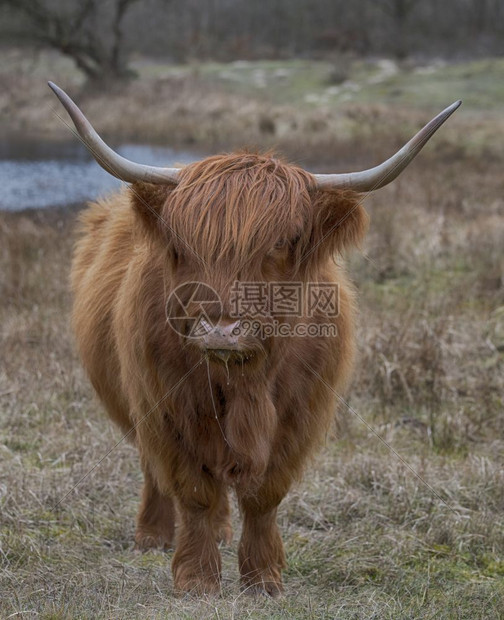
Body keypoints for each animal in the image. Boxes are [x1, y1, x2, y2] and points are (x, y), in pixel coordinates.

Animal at [49, 83, 458, 596]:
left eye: (280, 243)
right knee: (154, 472)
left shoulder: (298, 417)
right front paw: (197, 578)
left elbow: (264, 496)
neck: (244, 382)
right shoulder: (166, 410)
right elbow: (194, 491)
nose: (221, 329)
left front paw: (263, 577)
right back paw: (153, 535)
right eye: (180, 246)